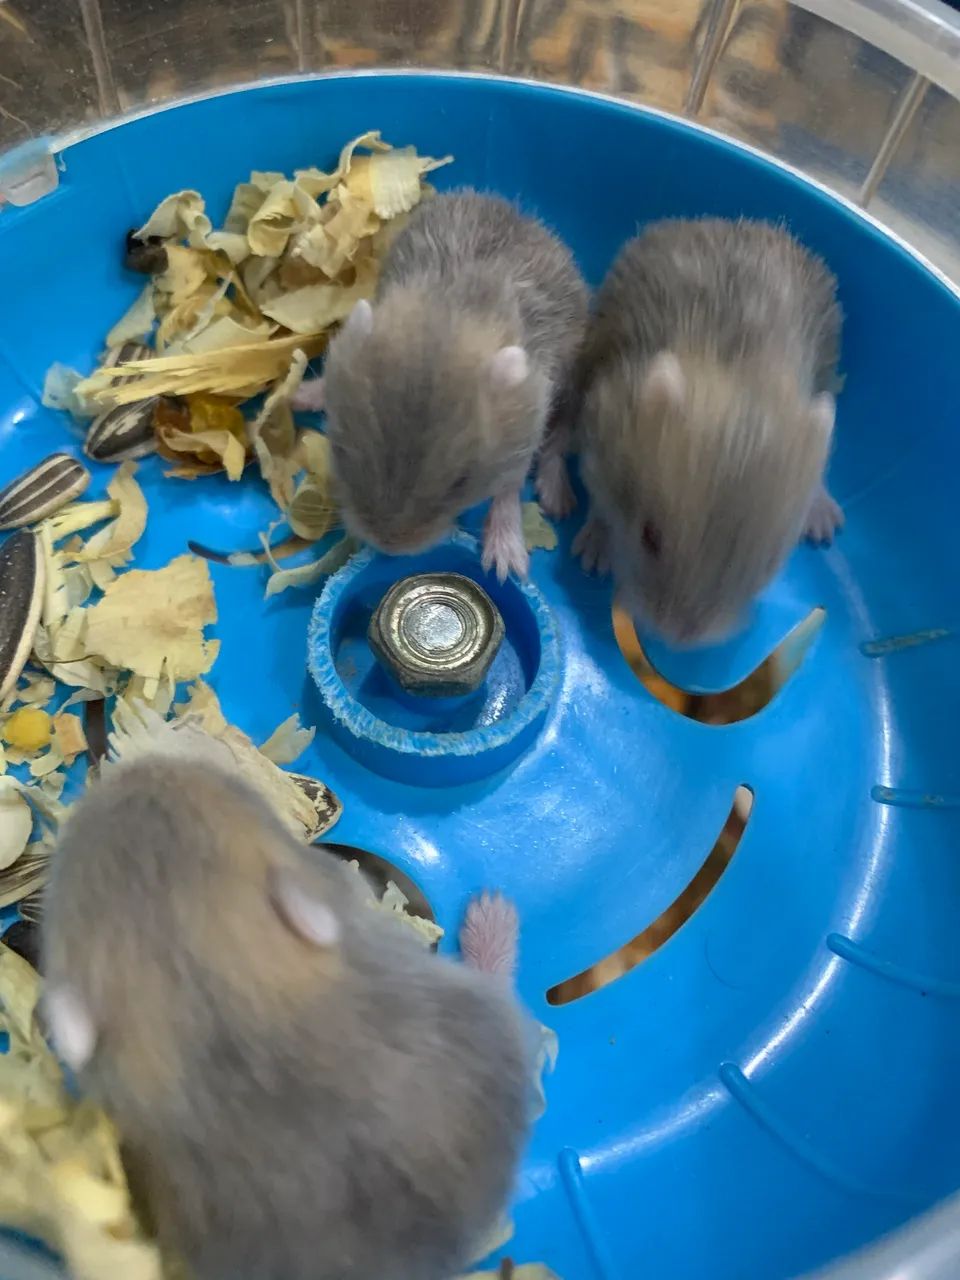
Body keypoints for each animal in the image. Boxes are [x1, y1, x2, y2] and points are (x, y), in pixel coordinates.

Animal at [322, 190, 588, 581]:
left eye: (460, 484)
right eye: (338, 450)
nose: (389, 546)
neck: (451, 308)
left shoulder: (527, 424)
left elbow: (508, 486)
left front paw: (505, 566)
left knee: (559, 439)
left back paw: (558, 501)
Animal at [575, 217, 844, 645]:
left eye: (769, 563)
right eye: (648, 535)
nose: (678, 637)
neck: (740, 370)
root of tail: (726, 220)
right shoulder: (599, 430)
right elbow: (600, 502)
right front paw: (592, 556)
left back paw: (825, 523)